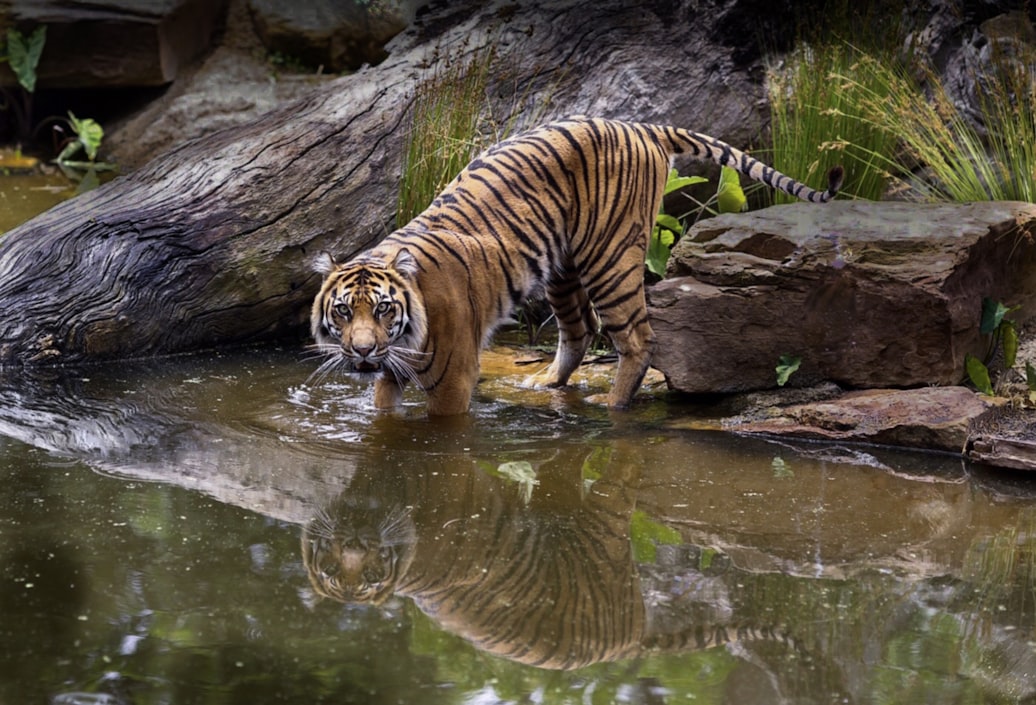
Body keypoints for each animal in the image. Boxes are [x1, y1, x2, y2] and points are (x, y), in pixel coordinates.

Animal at [308, 114, 841, 412]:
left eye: (383, 309)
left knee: (638, 339)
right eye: (343, 311)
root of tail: (641, 125)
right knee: (580, 328)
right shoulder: (389, 375)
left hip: (612, 258)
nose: (361, 352)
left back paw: (614, 406)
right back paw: (547, 382)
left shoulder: (454, 379)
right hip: (561, 268)